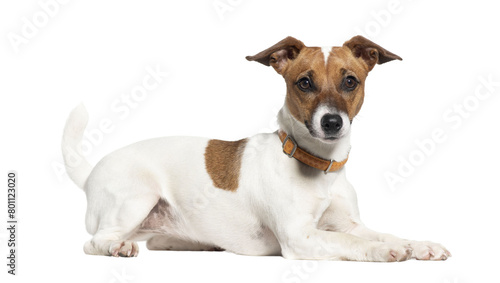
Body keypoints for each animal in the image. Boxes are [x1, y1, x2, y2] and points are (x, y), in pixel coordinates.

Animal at [61, 35, 450, 262]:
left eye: (350, 81)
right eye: (304, 83)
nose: (332, 122)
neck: (319, 166)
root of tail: (91, 173)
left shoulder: (350, 225)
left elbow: (380, 231)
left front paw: (419, 244)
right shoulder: (300, 237)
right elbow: (354, 244)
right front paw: (384, 249)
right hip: (134, 199)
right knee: (95, 241)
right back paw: (115, 247)